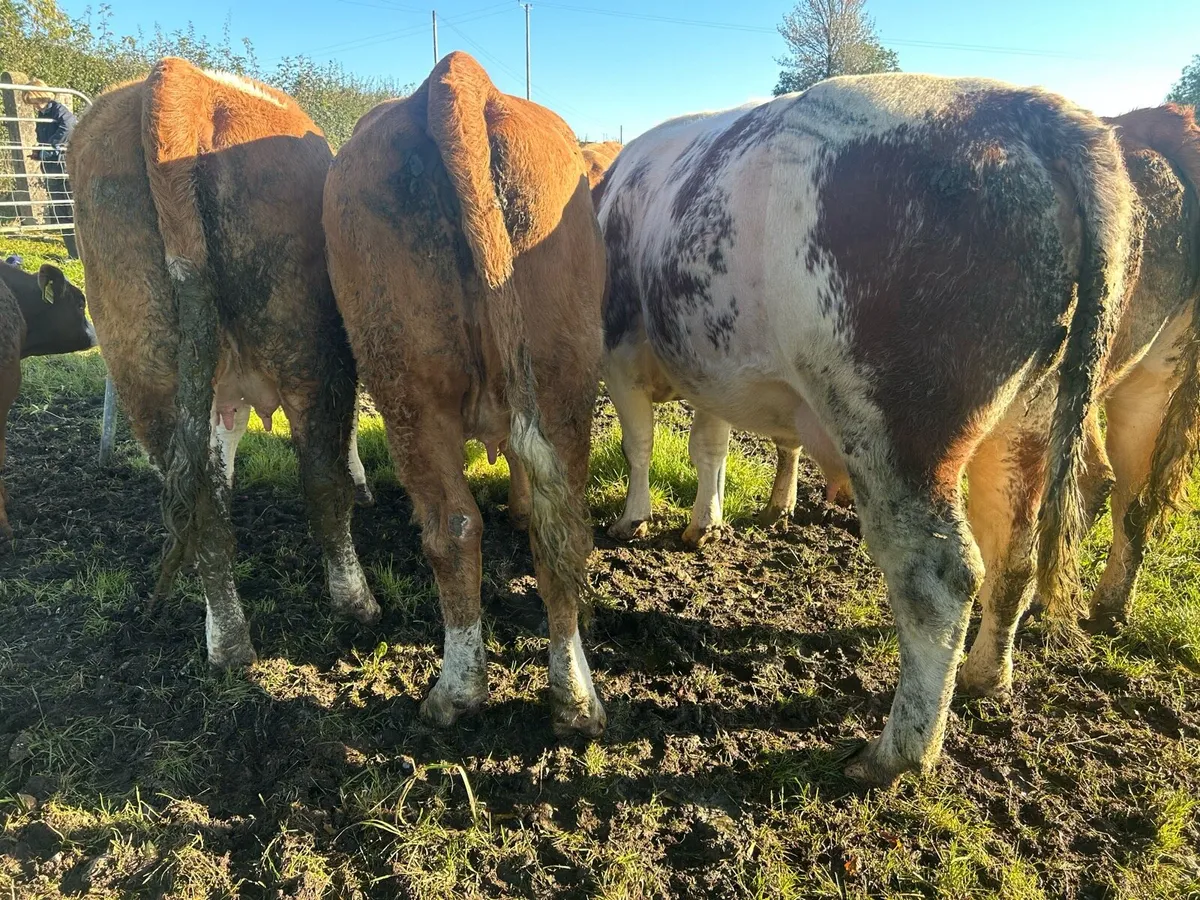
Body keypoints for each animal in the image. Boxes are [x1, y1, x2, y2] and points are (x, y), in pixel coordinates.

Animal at [67, 58, 379, 668]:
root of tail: (178, 78)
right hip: (308, 353)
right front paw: (362, 481)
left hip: (146, 364)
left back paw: (228, 642)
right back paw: (354, 602)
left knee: (203, 515)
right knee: (319, 484)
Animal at [323, 52, 607, 736]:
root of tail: (456, 77)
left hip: (404, 387)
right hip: (561, 377)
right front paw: (521, 505)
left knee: (451, 527)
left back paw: (455, 694)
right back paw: (574, 701)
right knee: (559, 532)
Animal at [596, 74, 1137, 784]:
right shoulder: (707, 364)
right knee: (1014, 553)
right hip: (1029, 419)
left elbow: (640, 442)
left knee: (941, 576)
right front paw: (703, 523)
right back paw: (985, 677)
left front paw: (631, 521)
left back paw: (894, 754)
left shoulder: (621, 345)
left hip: (900, 431)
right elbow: (708, 444)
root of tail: (1022, 106)